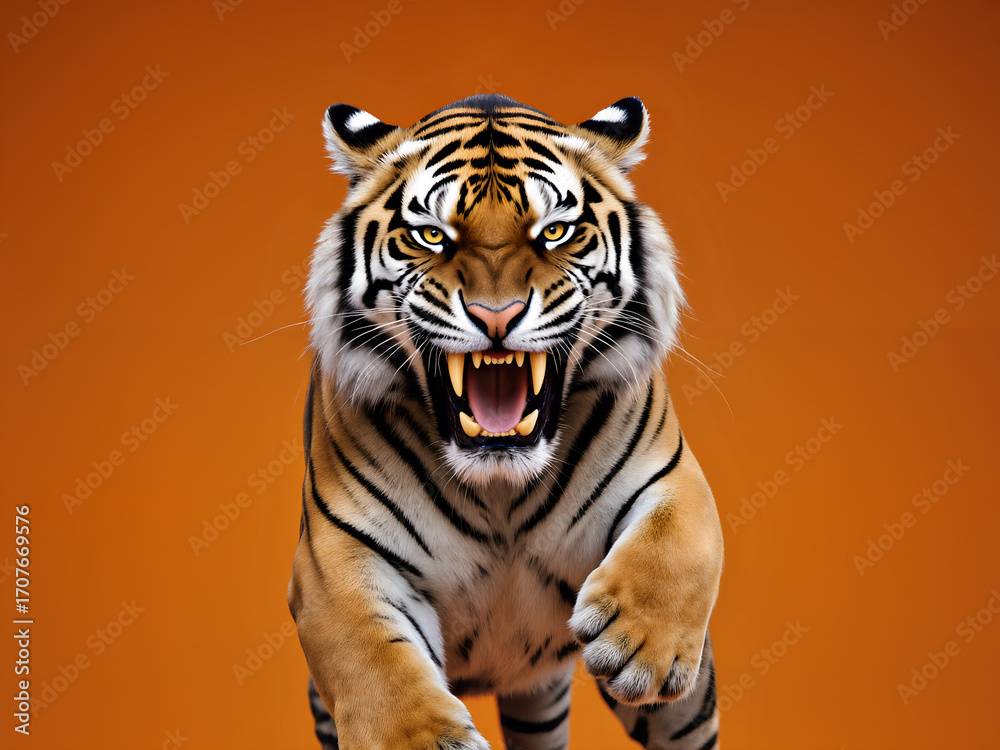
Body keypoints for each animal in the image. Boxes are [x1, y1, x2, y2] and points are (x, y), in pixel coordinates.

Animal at [287, 93, 724, 750]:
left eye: (555, 231)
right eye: (431, 235)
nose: (497, 315)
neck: (500, 490)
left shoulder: (670, 472)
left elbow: (683, 536)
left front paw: (636, 641)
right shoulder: (333, 554)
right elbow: (371, 657)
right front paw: (422, 738)